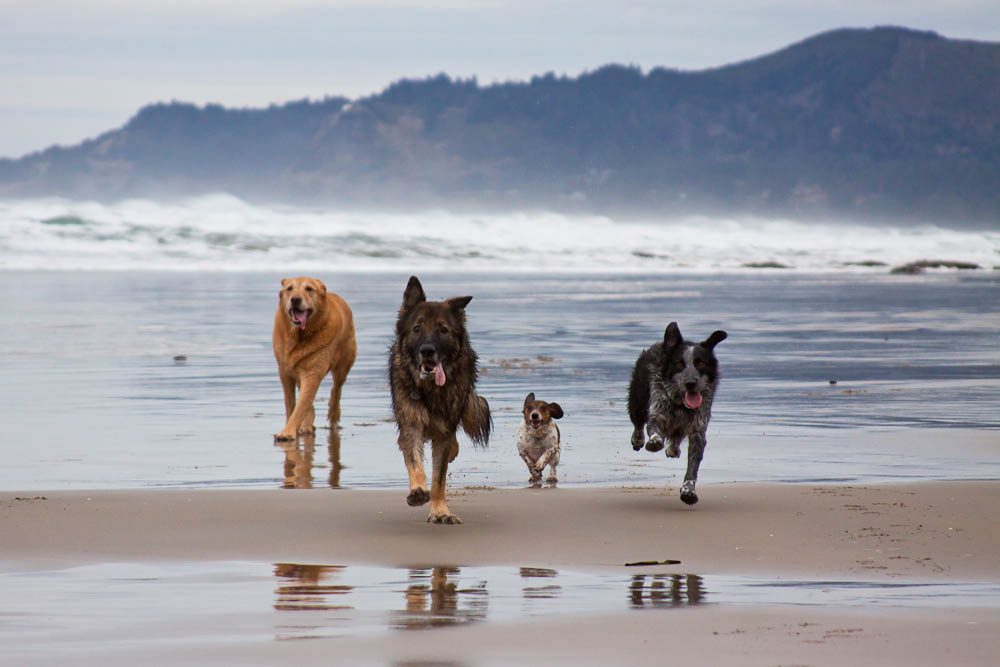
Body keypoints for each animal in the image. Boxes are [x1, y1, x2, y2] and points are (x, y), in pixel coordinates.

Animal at [386, 276, 492, 528]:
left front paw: (440, 511)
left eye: (443, 330)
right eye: (417, 328)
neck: (430, 389)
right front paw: (417, 491)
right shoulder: (411, 424)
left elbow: (438, 479)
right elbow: (415, 462)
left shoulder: (443, 432)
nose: (427, 351)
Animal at [632, 324, 728, 506]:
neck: (680, 405)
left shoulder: (698, 430)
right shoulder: (657, 413)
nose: (690, 383)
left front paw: (688, 491)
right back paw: (638, 440)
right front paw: (654, 442)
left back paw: (673, 449)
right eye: (678, 364)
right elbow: (654, 430)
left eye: (700, 363)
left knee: (676, 438)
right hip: (637, 402)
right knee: (638, 423)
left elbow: (692, 466)